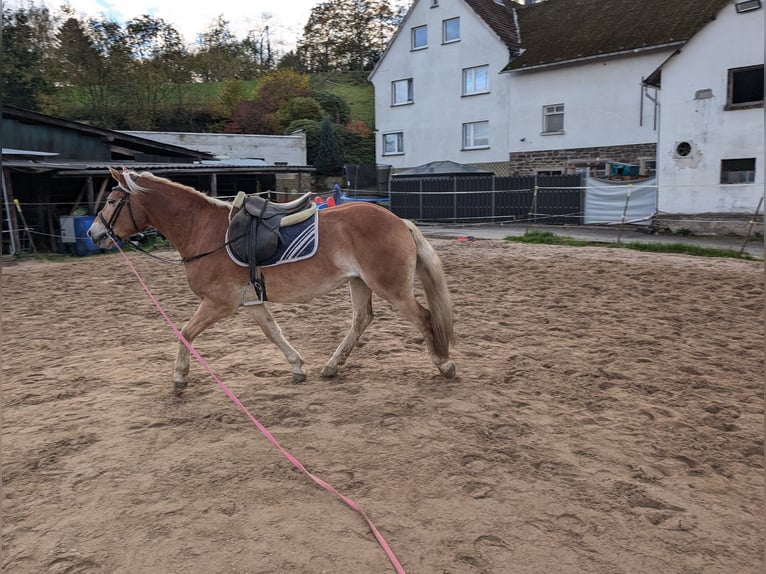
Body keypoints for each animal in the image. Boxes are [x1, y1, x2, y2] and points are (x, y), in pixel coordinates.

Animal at [88, 169, 456, 396]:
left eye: (111, 201)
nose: (93, 233)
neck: (205, 231)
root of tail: (398, 220)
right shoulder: (251, 302)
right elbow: (273, 332)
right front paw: (297, 368)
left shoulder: (220, 303)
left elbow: (185, 332)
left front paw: (179, 378)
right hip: (359, 283)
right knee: (361, 320)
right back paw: (331, 366)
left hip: (391, 288)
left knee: (423, 317)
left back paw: (444, 363)